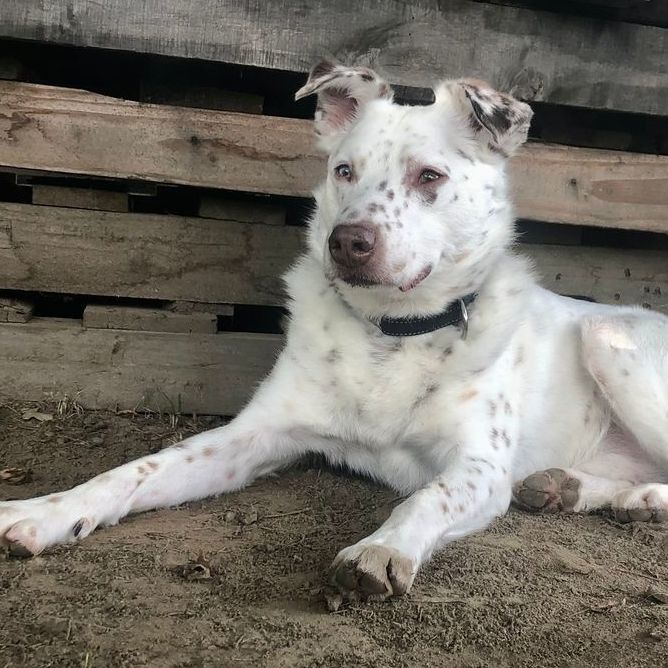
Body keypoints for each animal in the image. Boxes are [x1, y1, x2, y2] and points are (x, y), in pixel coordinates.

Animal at [1, 62, 668, 604]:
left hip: (608, 337)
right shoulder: (254, 434)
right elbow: (136, 470)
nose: (346, 242)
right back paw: (572, 489)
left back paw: (638, 501)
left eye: (430, 177)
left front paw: (381, 549)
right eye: (344, 170)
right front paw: (45, 511)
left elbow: (425, 496)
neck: (392, 332)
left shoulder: (480, 468)